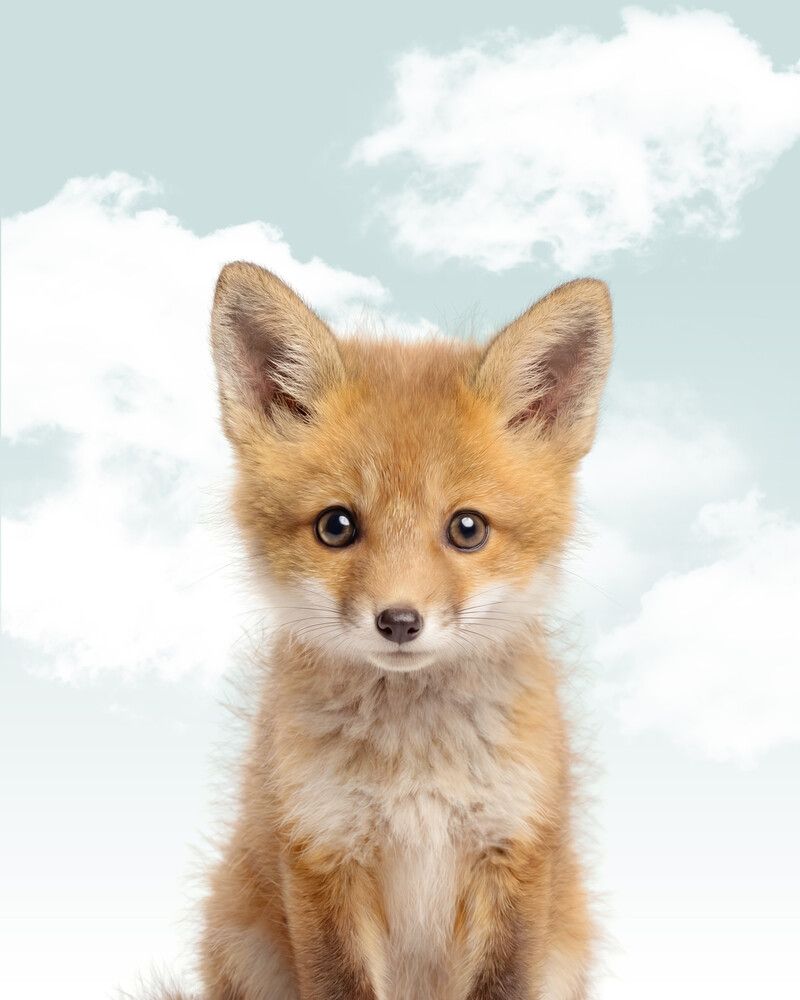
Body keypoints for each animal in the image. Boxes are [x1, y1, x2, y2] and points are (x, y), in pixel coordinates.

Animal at [153, 261, 612, 1000]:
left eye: (467, 528)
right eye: (336, 526)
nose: (399, 620)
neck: (415, 769)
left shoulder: (513, 852)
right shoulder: (323, 851)